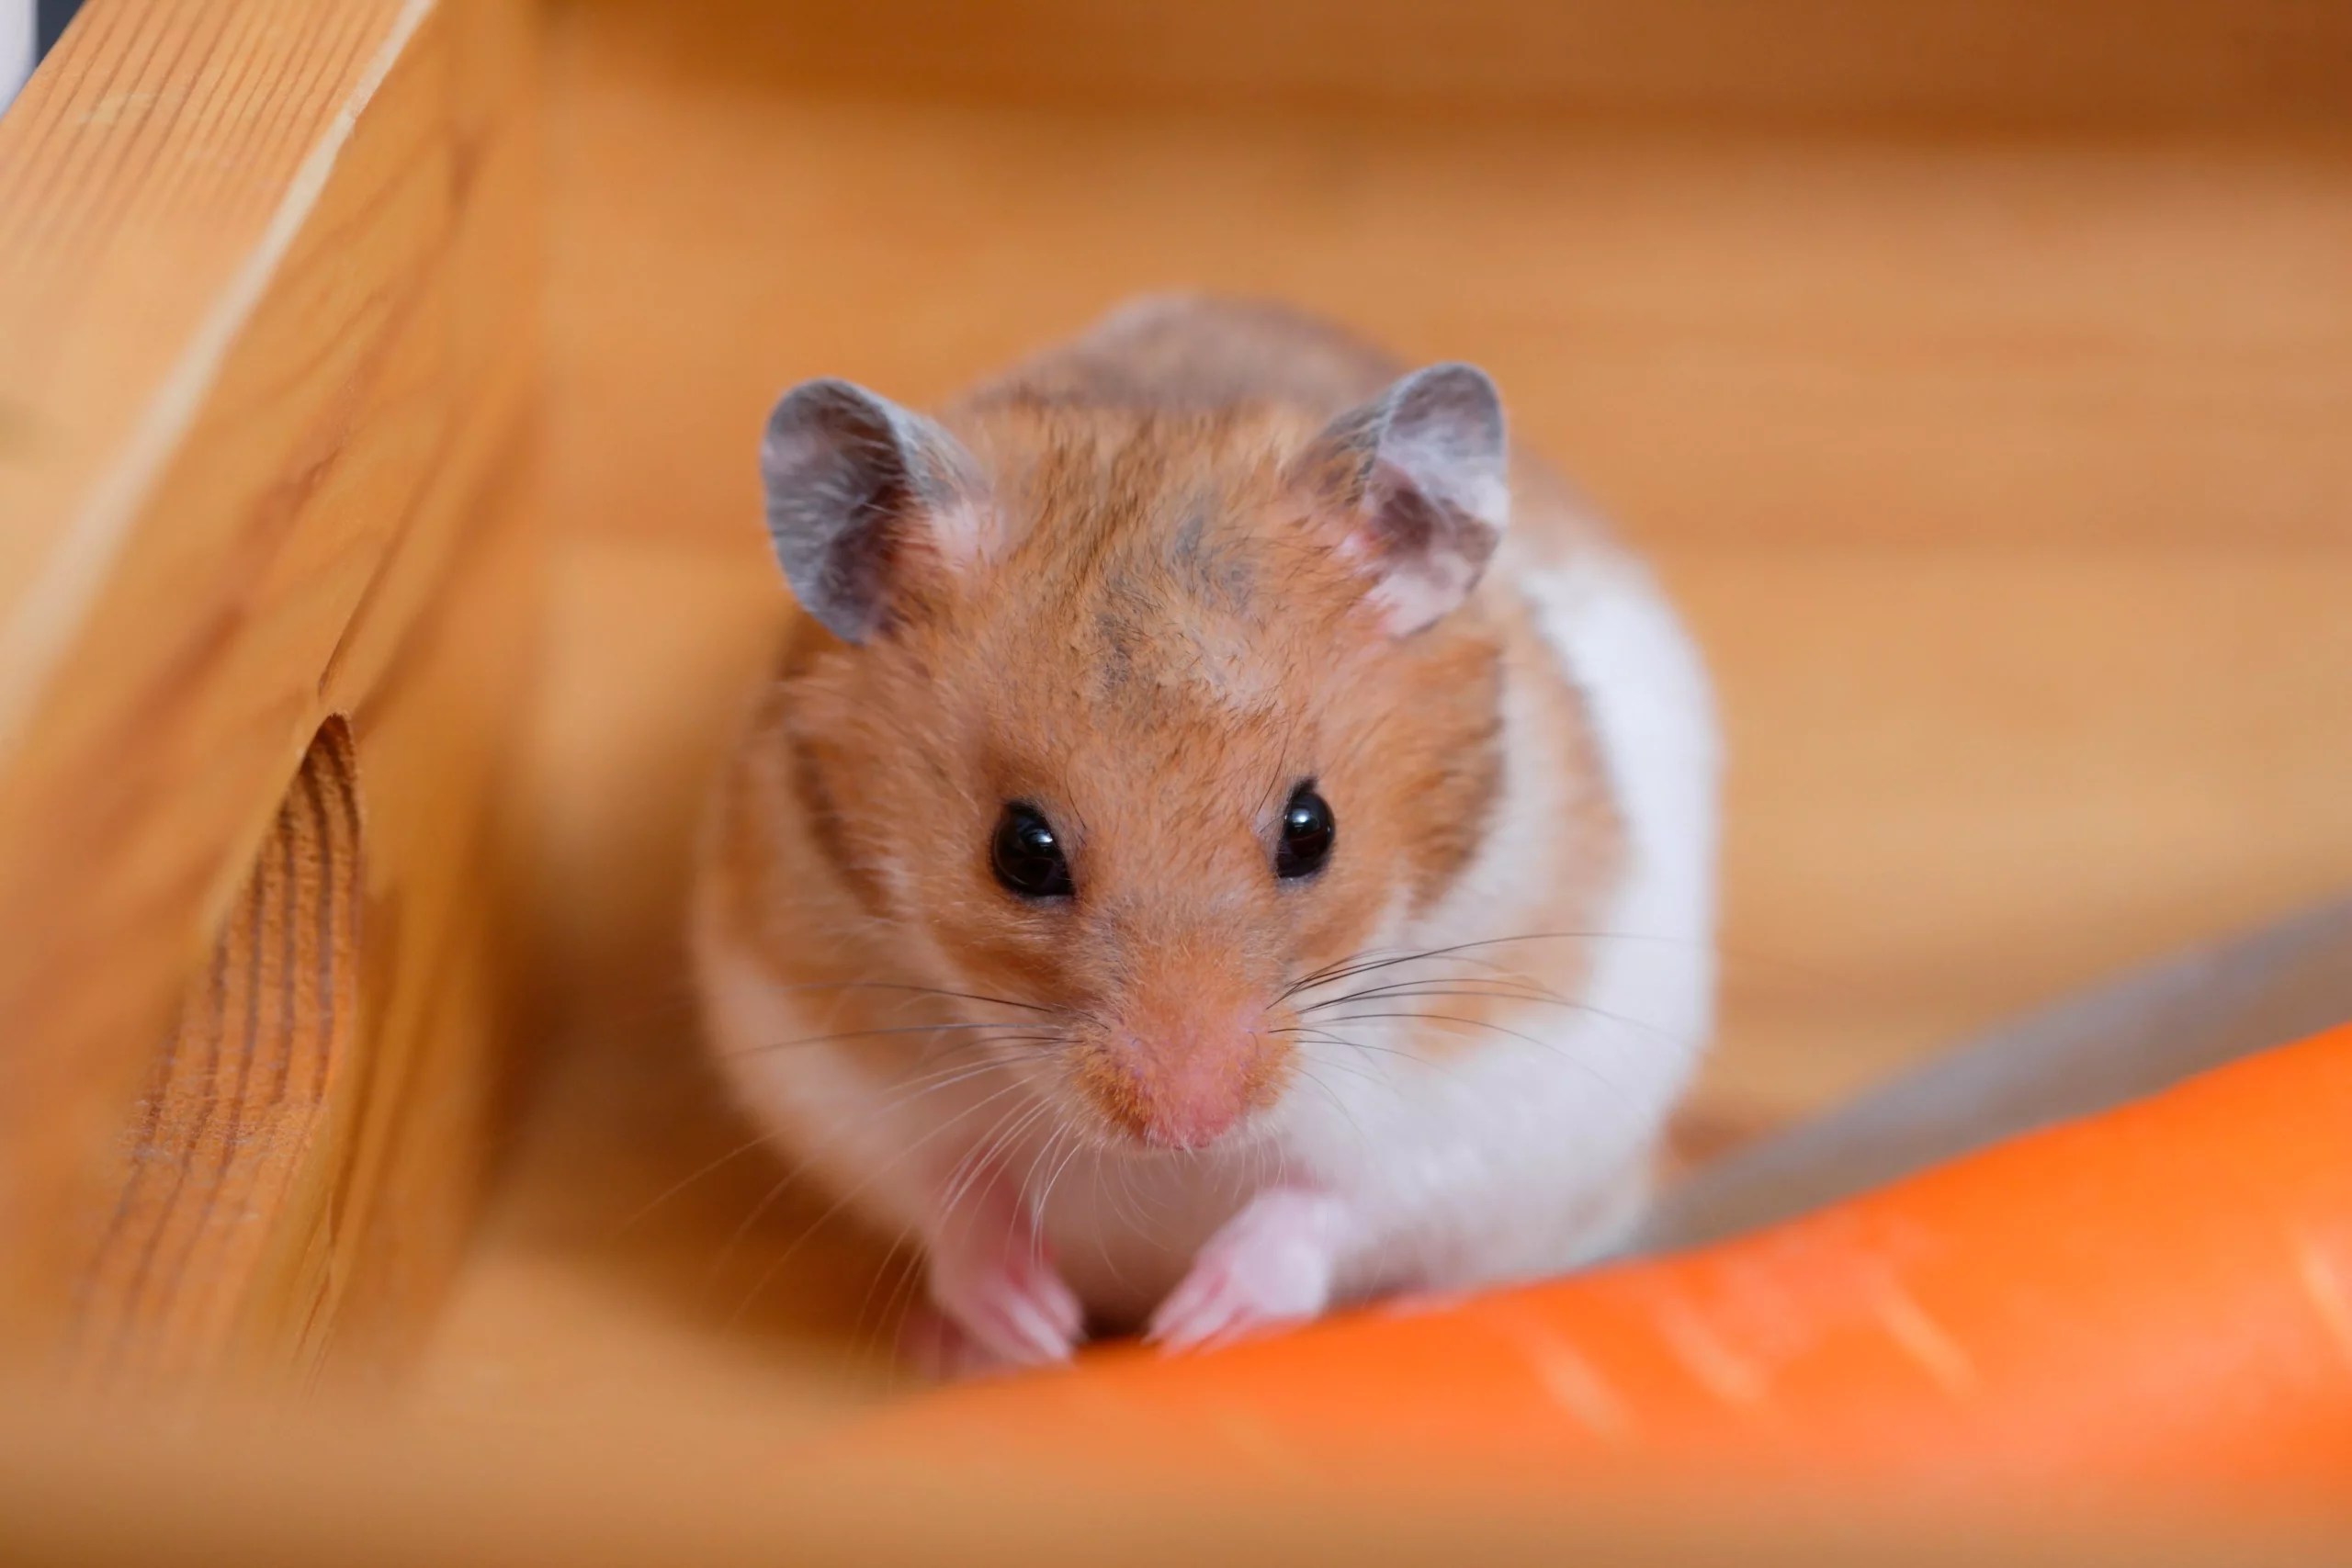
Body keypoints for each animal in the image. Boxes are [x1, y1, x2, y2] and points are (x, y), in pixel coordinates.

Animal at [692, 296, 1718, 1372]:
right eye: (1020, 850)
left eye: (1313, 830)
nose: (1190, 1125)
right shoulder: (834, 1069)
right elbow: (954, 1195)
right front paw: (1037, 1329)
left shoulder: (1481, 1085)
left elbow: (1332, 1200)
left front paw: (1195, 1328)